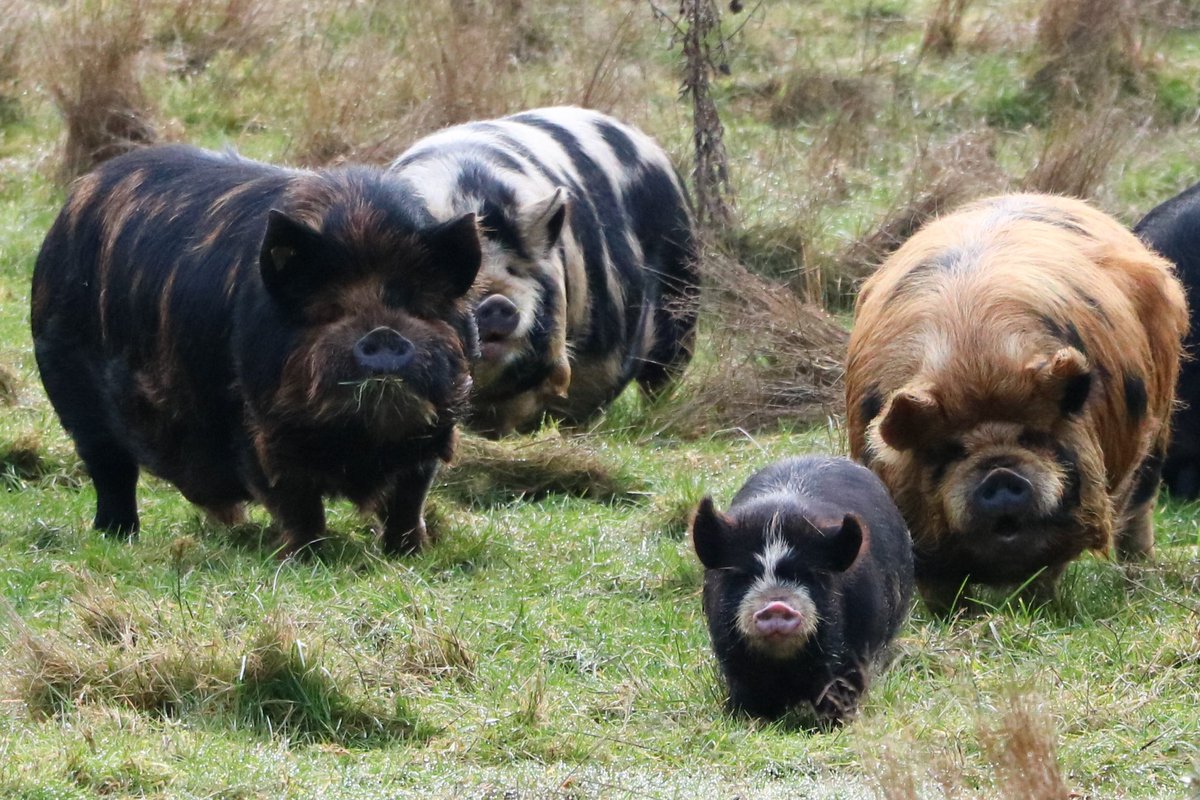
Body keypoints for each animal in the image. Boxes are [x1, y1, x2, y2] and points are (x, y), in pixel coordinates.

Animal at [31, 144, 482, 555]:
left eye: (418, 307)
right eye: (327, 311)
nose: (384, 333)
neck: (359, 443)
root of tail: (77, 195)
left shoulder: (434, 433)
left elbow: (408, 500)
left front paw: (409, 553)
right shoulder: (257, 427)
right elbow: (296, 502)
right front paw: (307, 557)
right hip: (73, 398)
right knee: (111, 471)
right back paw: (117, 536)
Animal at [691, 456, 914, 723]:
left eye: (809, 575)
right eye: (743, 575)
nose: (776, 604)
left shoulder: (855, 653)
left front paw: (834, 723)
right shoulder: (732, 659)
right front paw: (752, 720)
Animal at [846, 194, 1188, 612]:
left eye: (1031, 437)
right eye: (951, 451)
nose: (1000, 474)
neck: (978, 370)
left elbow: (1049, 564)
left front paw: (1041, 609)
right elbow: (938, 583)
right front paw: (954, 617)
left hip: (1159, 424)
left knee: (1139, 508)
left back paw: (1138, 582)